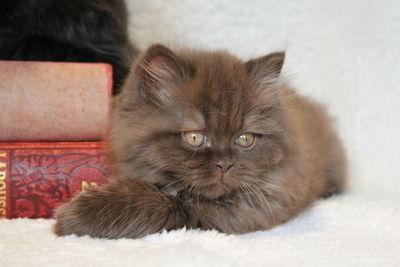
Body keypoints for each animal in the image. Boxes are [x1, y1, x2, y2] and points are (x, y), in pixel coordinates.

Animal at [54, 44, 346, 241]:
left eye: (245, 139)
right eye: (195, 137)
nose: (224, 165)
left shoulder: (262, 202)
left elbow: (176, 204)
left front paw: (80, 215)